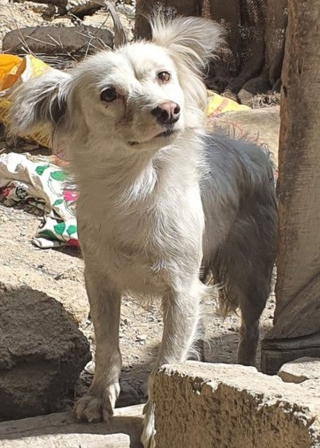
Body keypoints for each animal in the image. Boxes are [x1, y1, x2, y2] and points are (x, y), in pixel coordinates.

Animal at [9, 14, 276, 448]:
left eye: (164, 76)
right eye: (109, 94)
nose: (169, 110)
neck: (137, 183)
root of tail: (247, 145)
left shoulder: (181, 291)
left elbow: (165, 360)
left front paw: (157, 419)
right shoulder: (101, 283)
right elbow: (107, 346)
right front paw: (99, 398)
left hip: (253, 277)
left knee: (249, 331)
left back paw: (242, 368)